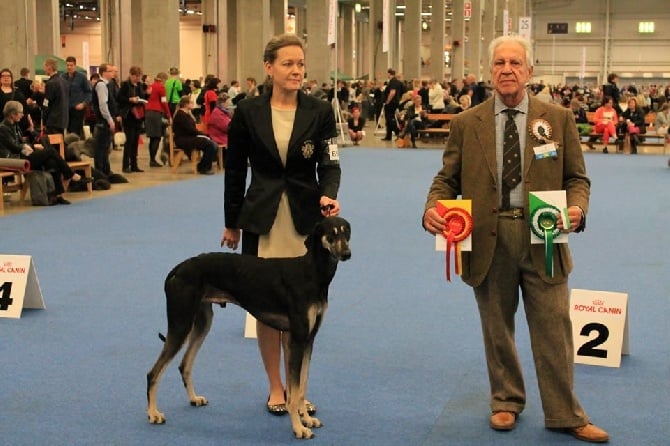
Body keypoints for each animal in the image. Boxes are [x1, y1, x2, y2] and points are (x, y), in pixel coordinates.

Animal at [146, 215, 352, 440]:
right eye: (331, 234)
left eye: (346, 233)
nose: (347, 254)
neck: (311, 273)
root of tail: (177, 269)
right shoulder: (297, 339)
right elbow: (295, 390)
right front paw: (299, 428)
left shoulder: (308, 340)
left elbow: (301, 387)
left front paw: (306, 419)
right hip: (180, 324)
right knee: (153, 373)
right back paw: (153, 414)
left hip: (202, 323)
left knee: (184, 365)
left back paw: (194, 399)